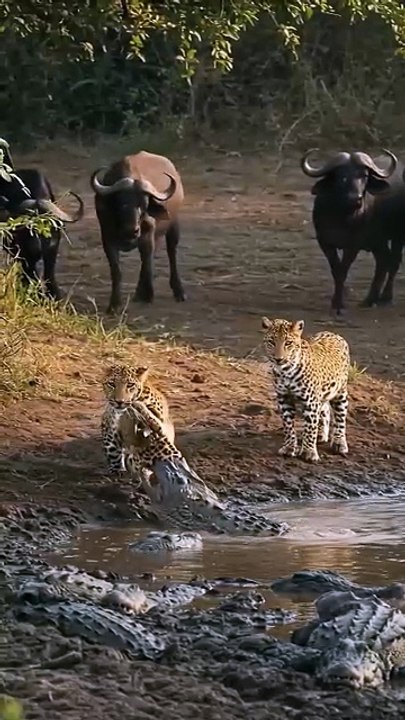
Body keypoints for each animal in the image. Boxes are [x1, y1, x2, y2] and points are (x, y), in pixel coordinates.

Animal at [261, 317, 350, 463]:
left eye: (288, 343)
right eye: (271, 342)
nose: (279, 359)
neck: (285, 372)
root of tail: (333, 333)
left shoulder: (311, 402)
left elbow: (310, 427)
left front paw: (309, 452)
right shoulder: (284, 399)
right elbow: (288, 426)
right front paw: (289, 447)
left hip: (340, 392)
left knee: (340, 418)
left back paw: (339, 442)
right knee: (325, 409)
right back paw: (321, 434)